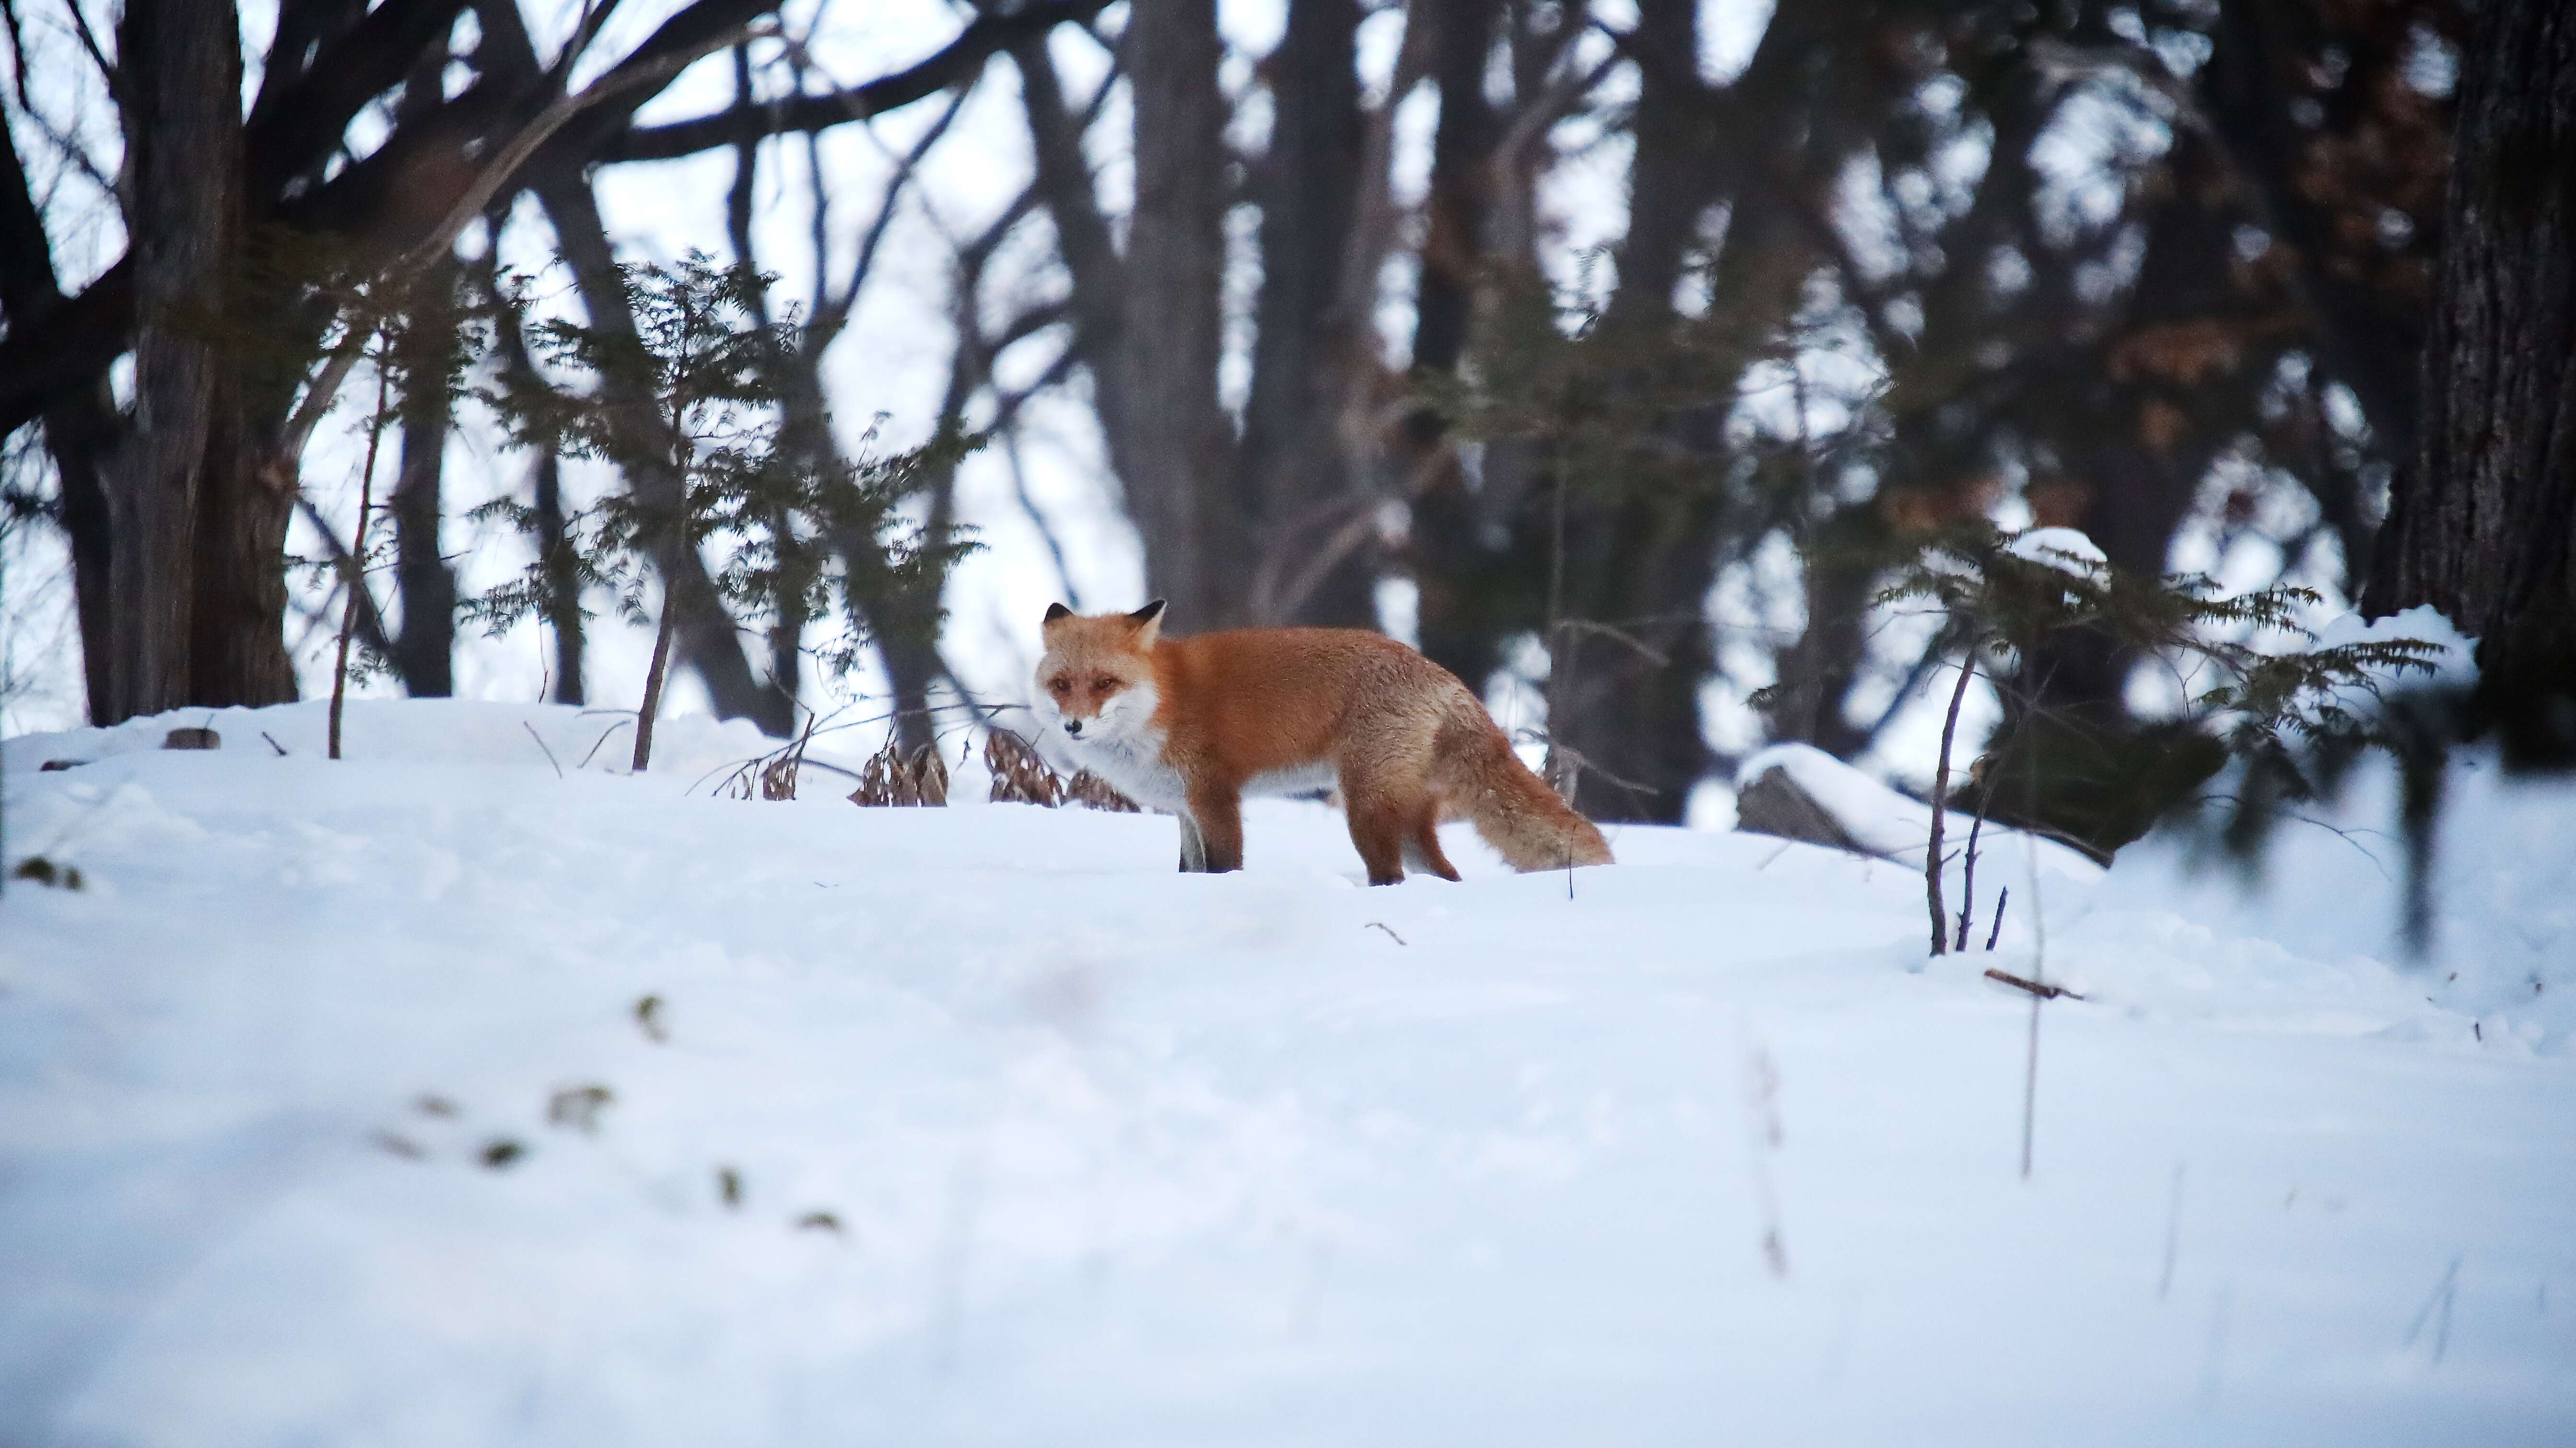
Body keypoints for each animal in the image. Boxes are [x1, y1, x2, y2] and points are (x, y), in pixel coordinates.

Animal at [1030, 595, 1607, 881]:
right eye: (1061, 685)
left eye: (1104, 683)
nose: (1073, 726)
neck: (1162, 703)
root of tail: (1444, 676)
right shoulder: (1182, 810)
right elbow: (1189, 871)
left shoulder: (1215, 796)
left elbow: (1225, 867)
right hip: (1404, 816)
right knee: (1445, 874)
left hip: (1366, 809)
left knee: (1391, 875)